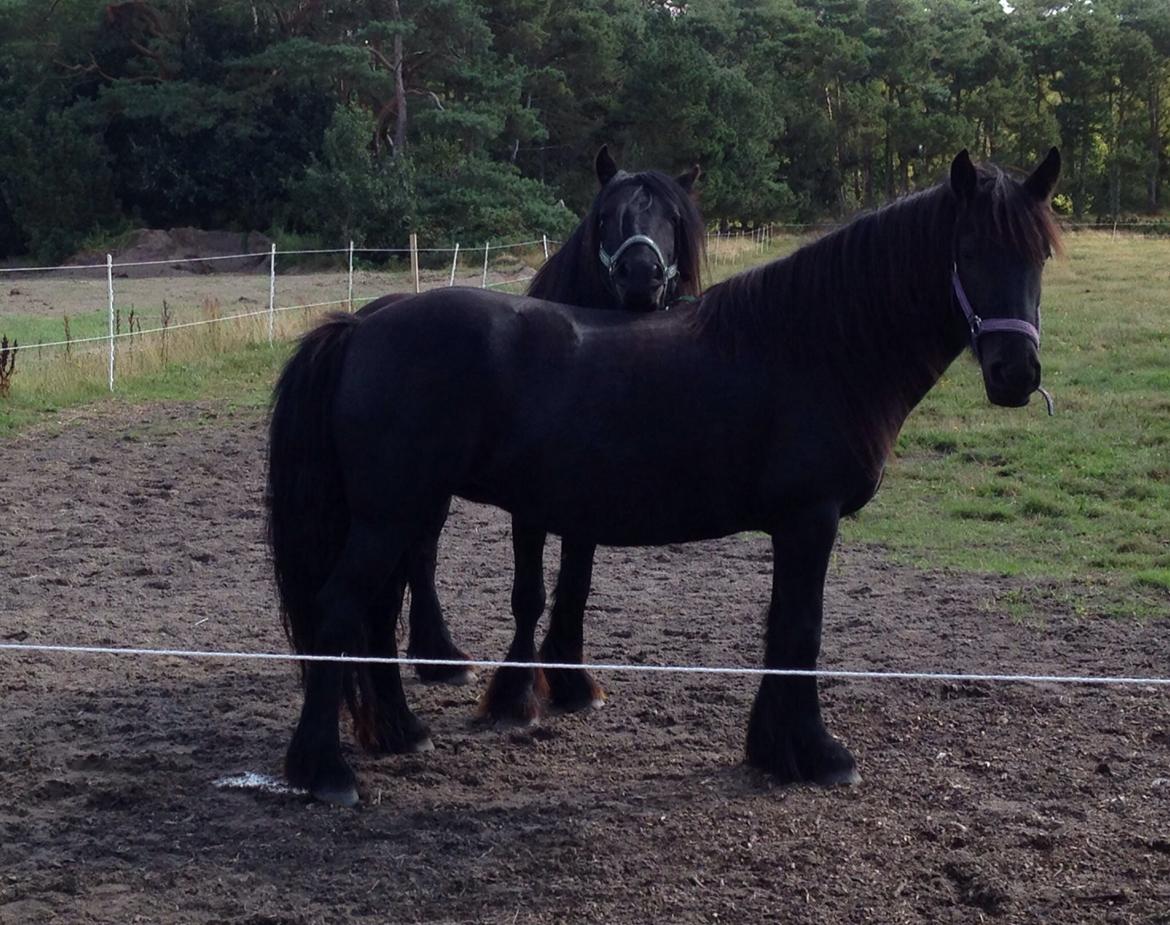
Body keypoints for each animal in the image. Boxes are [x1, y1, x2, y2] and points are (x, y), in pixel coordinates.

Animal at [356, 145, 705, 700]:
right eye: (605, 217)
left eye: (672, 218)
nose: (640, 276)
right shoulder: (529, 505)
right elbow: (529, 592)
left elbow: (577, 583)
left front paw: (572, 679)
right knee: (421, 555)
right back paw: (440, 658)